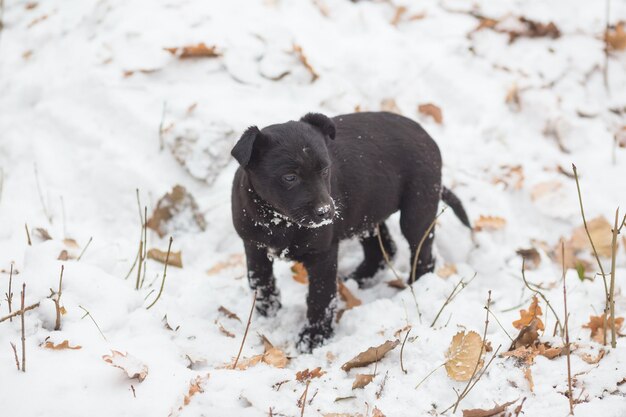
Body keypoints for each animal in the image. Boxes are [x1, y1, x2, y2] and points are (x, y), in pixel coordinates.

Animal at [229, 110, 468, 352]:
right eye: (289, 177)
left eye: (325, 170)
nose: (326, 212)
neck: (280, 221)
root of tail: (425, 134)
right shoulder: (254, 246)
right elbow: (261, 283)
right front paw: (268, 317)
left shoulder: (322, 254)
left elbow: (320, 297)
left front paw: (314, 338)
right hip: (367, 212)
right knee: (383, 250)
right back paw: (355, 280)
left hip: (417, 209)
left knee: (423, 256)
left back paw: (415, 289)